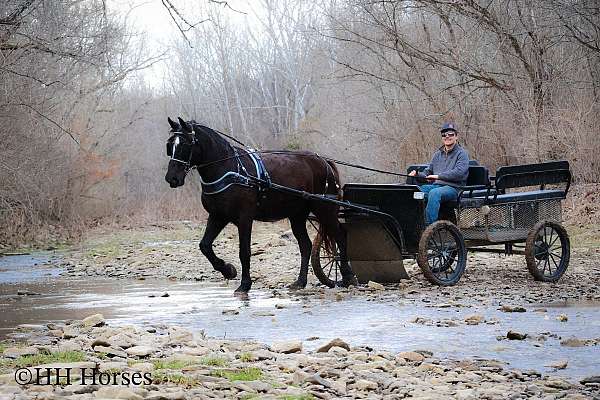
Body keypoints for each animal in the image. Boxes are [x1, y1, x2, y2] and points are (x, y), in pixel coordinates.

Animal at [164, 117, 356, 292]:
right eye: (170, 145)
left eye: (185, 145)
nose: (171, 178)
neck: (229, 169)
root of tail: (324, 161)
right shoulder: (218, 216)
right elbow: (205, 246)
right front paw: (228, 270)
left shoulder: (244, 218)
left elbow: (244, 251)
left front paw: (244, 284)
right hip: (297, 216)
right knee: (306, 246)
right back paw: (300, 282)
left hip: (325, 210)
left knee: (340, 237)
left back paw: (347, 276)